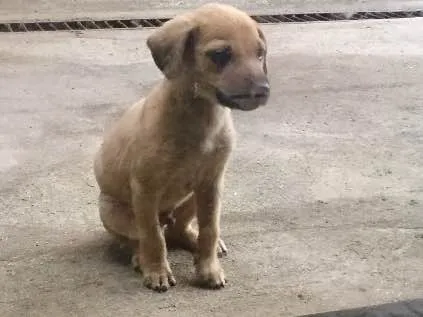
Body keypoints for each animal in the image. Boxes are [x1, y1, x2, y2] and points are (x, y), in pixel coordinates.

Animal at [94, 2, 270, 292]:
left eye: (260, 53)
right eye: (220, 54)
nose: (263, 91)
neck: (200, 116)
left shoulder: (212, 184)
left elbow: (210, 229)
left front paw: (208, 269)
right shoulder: (145, 189)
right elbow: (153, 237)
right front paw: (157, 271)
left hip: (190, 199)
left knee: (178, 230)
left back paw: (194, 241)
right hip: (115, 213)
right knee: (139, 237)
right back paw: (140, 258)